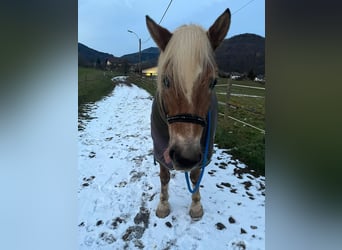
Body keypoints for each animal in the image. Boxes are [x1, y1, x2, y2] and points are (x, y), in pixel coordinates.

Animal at [146, 8, 230, 219]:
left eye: (214, 82)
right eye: (166, 81)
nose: (185, 158)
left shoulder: (203, 149)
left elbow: (195, 175)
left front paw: (196, 206)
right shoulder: (160, 148)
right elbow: (164, 176)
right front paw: (163, 205)